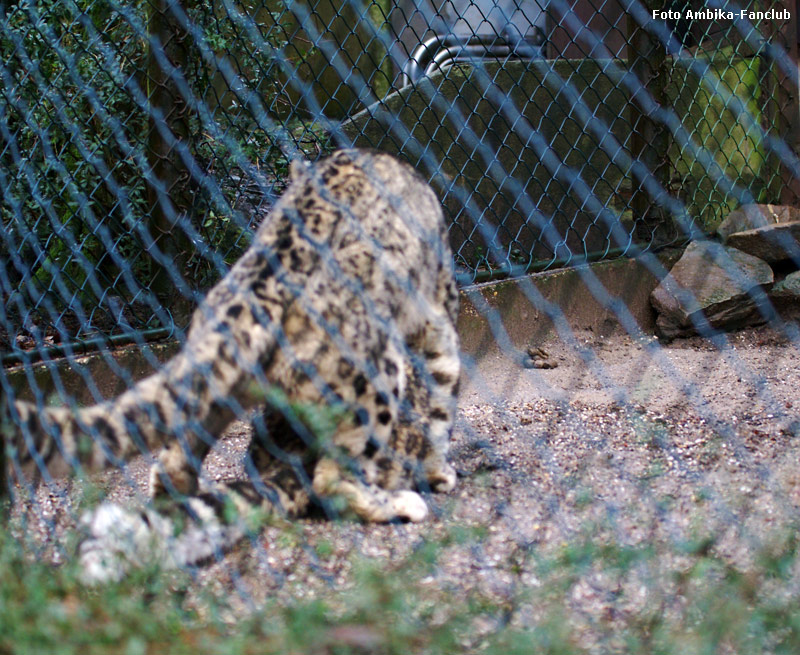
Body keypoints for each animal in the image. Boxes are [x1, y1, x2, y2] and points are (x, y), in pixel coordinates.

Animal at [3, 150, 460, 584]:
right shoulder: (438, 312)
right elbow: (443, 390)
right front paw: (441, 471)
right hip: (375, 378)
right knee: (334, 478)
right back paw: (399, 503)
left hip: (218, 390)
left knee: (173, 461)